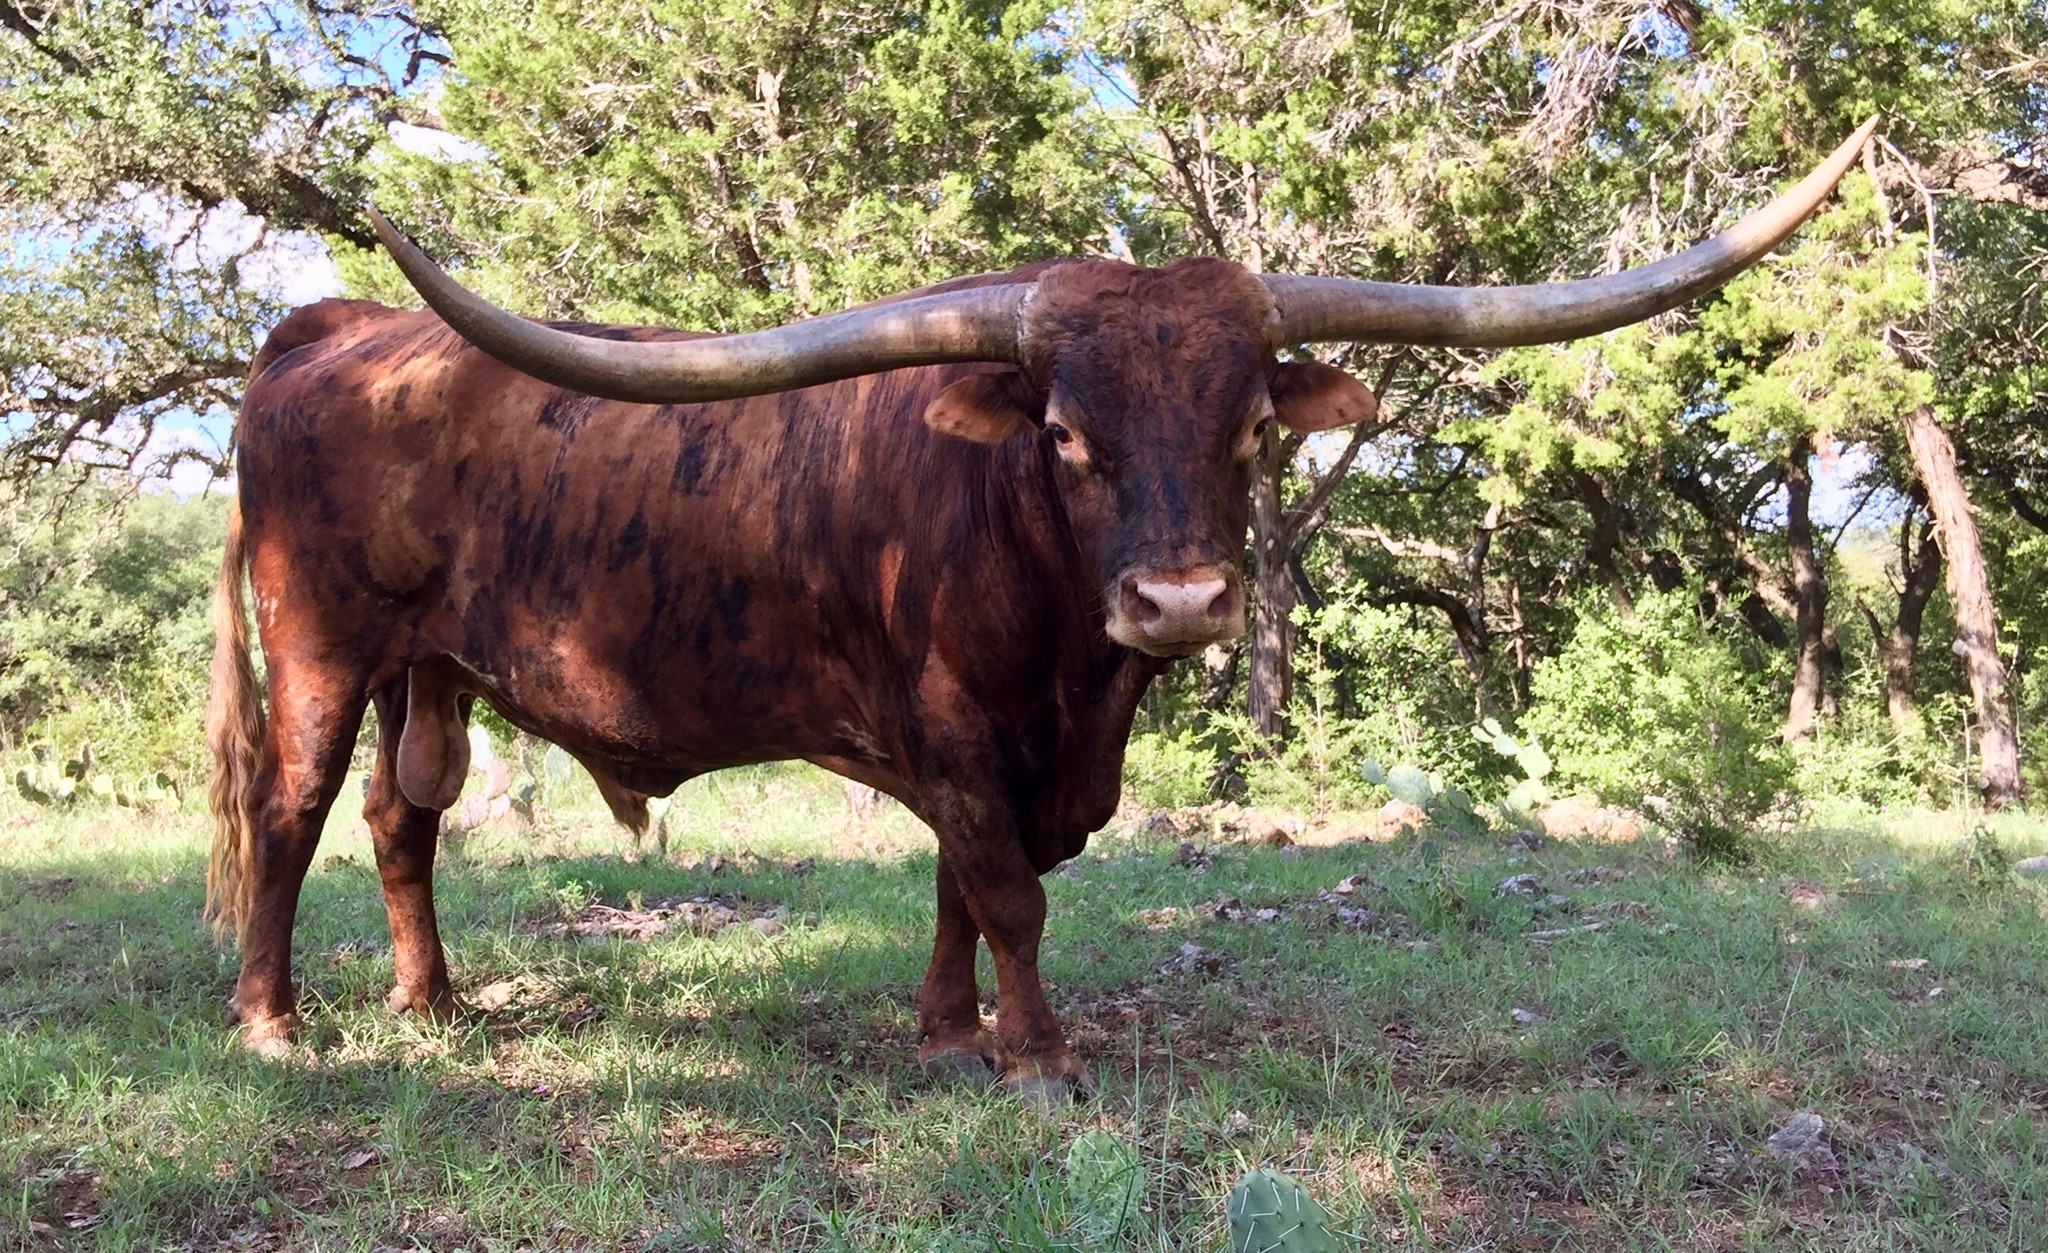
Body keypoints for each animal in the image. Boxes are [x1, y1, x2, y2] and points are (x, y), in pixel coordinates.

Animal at [204, 121, 1873, 1100]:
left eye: (1250, 432)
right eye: (1066, 434)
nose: (1182, 596)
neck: (1080, 678)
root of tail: (339, 326)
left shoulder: (1009, 758)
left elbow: (963, 882)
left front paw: (953, 1032)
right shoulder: (952, 726)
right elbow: (1007, 890)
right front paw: (1039, 1054)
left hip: (432, 664)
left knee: (406, 818)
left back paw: (432, 1004)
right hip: (324, 645)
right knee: (292, 811)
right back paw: (275, 1020)